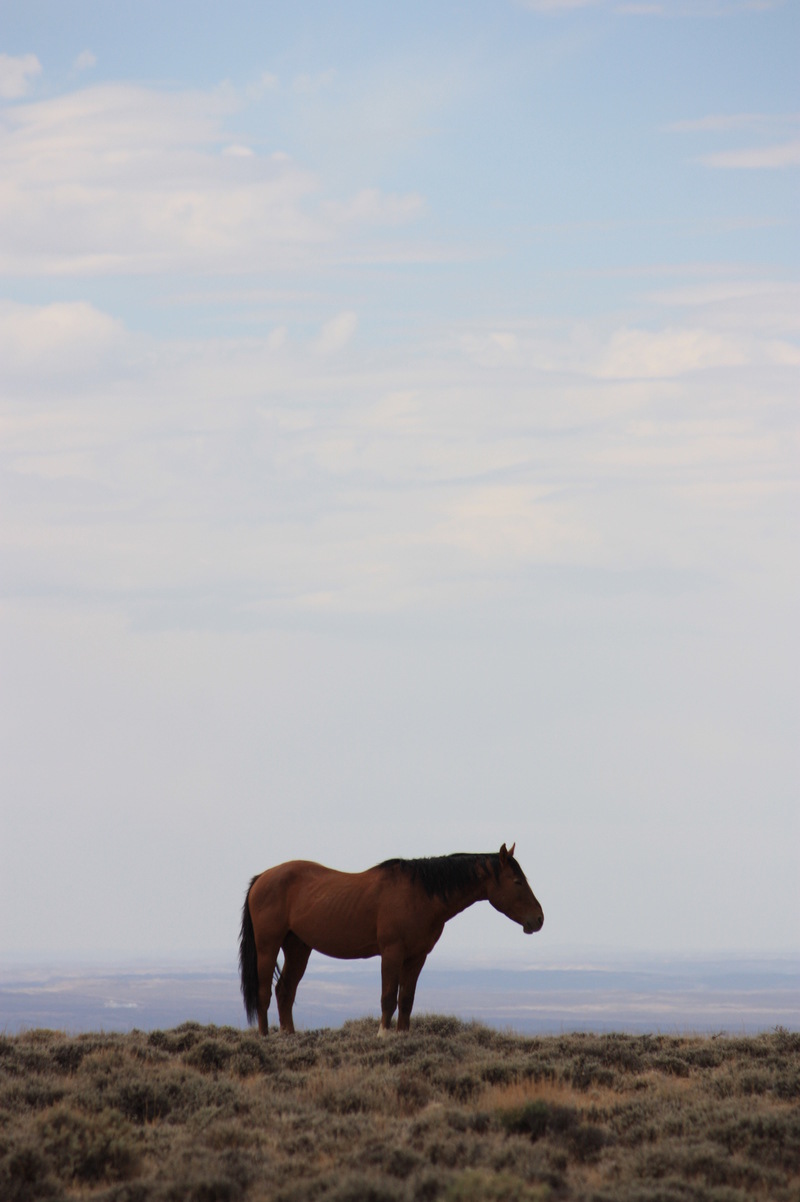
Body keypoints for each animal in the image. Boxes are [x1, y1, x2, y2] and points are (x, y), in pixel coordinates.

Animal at [236, 846, 542, 1033]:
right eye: (517, 882)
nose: (538, 919)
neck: (420, 894)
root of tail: (262, 878)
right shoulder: (392, 953)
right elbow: (388, 998)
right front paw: (383, 1036)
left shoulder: (417, 957)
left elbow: (406, 1000)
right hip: (268, 946)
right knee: (264, 993)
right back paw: (265, 1038)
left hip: (298, 947)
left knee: (284, 991)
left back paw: (288, 1037)